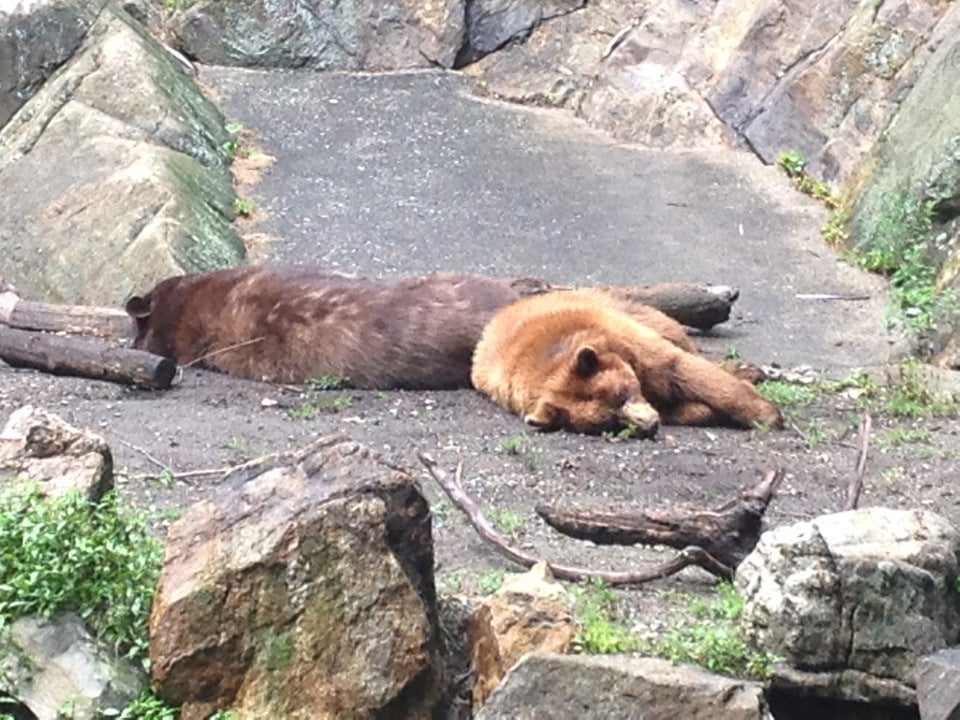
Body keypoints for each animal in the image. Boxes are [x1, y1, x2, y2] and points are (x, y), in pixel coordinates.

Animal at [470, 290, 783, 437]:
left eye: (623, 394)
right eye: (607, 423)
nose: (650, 426)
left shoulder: (628, 343)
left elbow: (679, 368)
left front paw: (767, 414)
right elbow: (679, 406)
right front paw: (703, 411)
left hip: (631, 310)